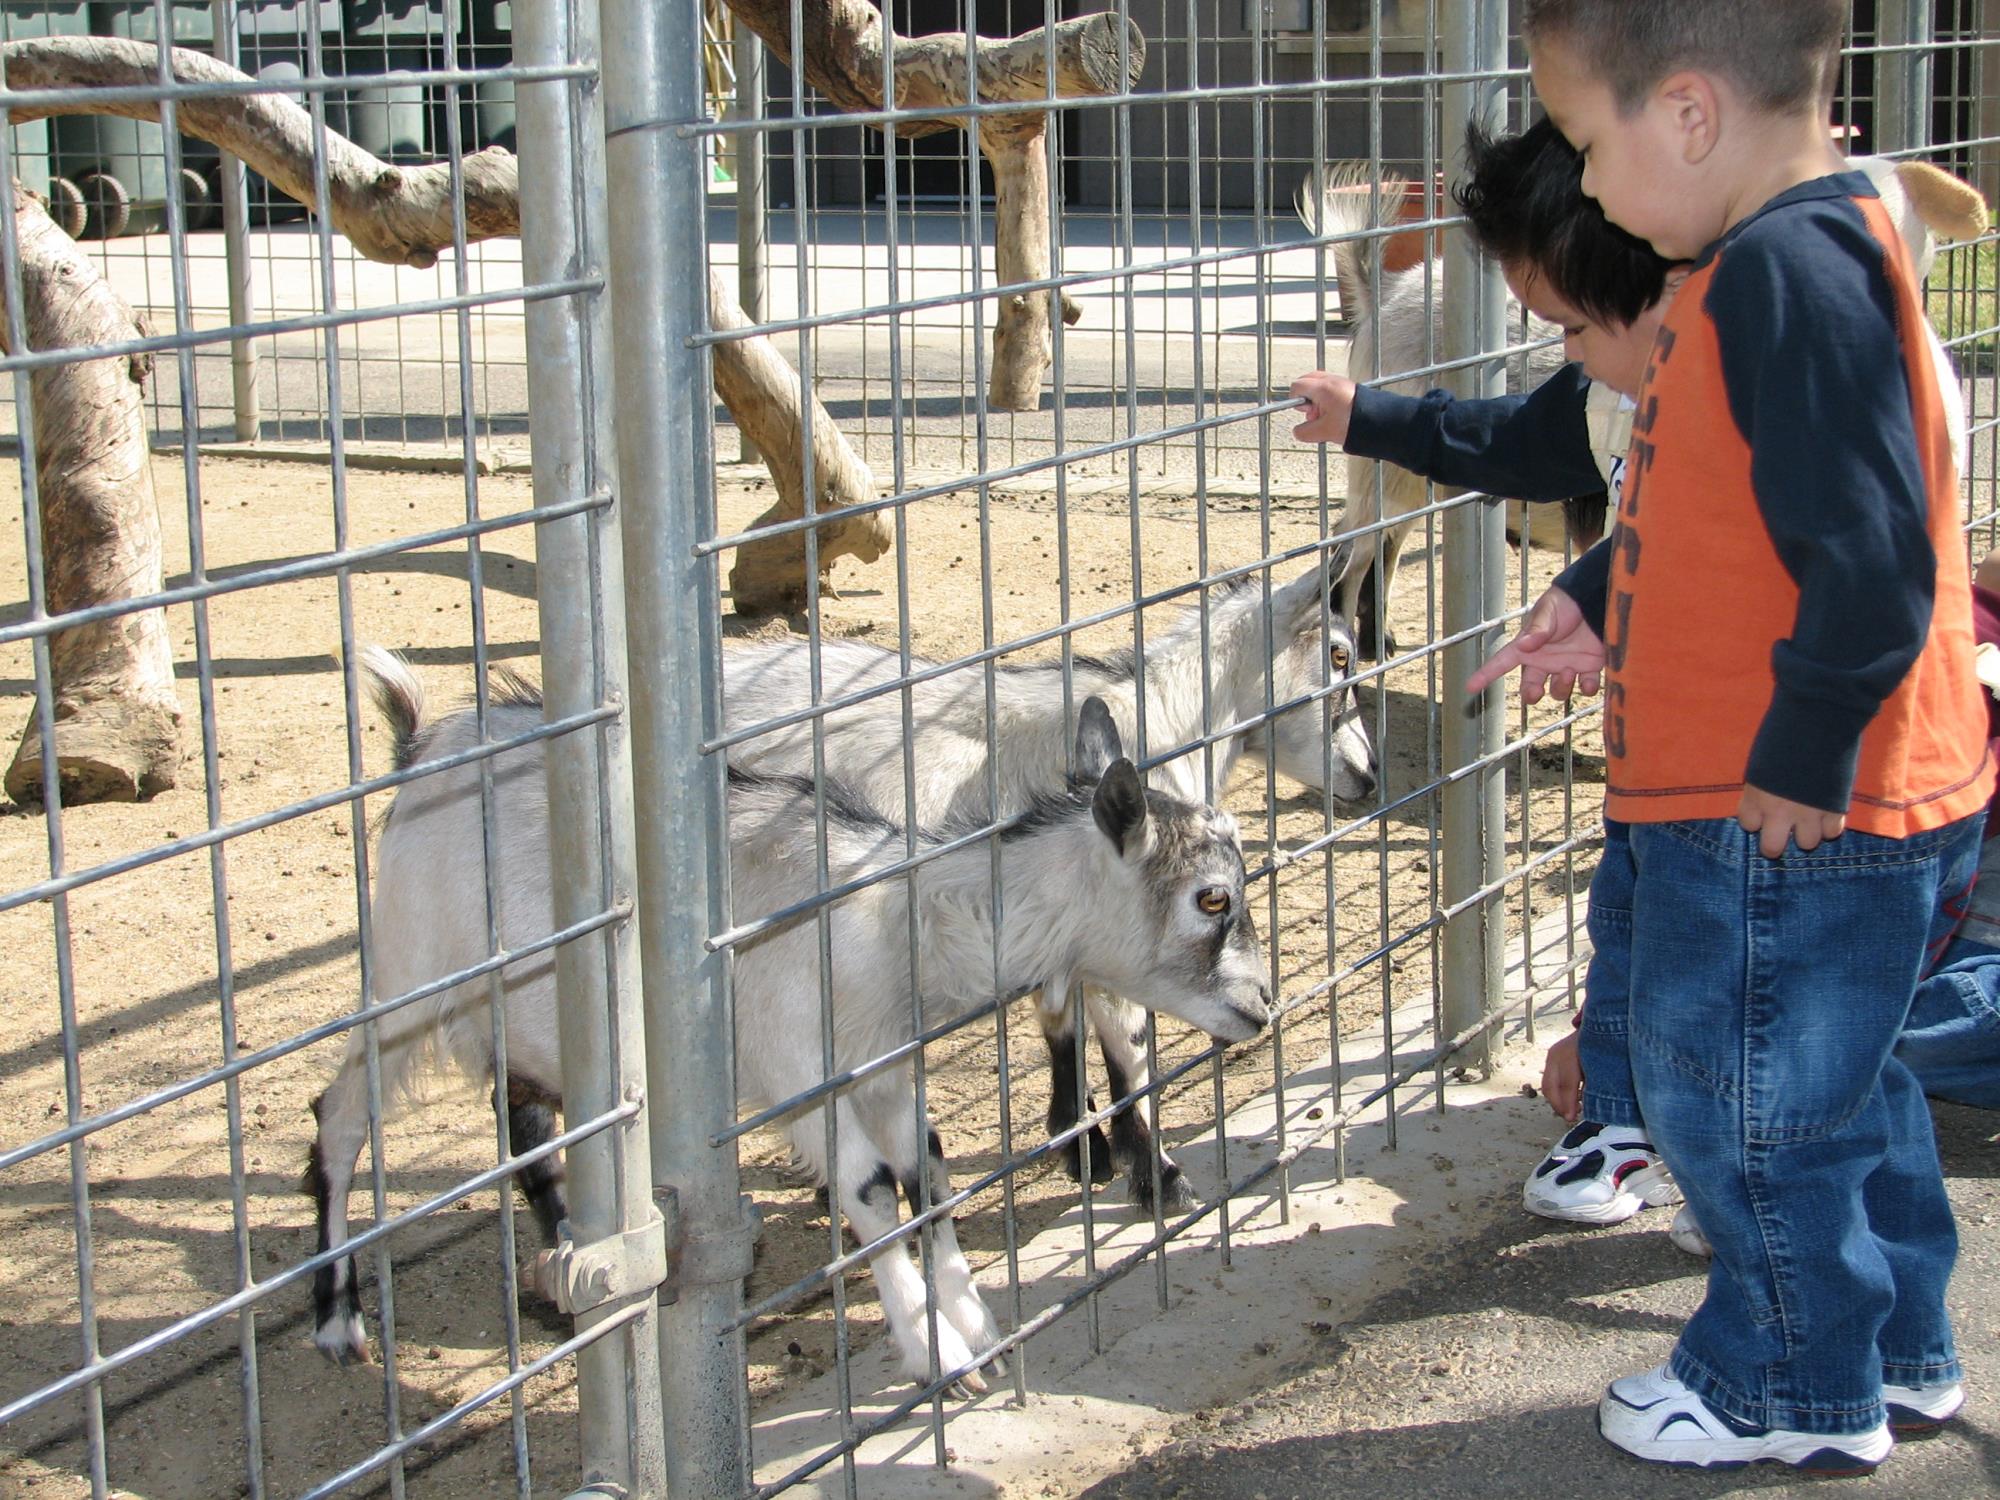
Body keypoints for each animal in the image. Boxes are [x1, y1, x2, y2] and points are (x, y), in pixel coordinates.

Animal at [304, 656, 1272, 1400]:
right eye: (1210, 897)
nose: (1263, 1006)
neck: (890, 919)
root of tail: (422, 746)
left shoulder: (884, 1066)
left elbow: (930, 1174)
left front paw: (978, 1330)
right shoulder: (800, 1075)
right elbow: (872, 1191)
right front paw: (940, 1359)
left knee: (524, 1114)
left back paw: (566, 1268)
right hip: (407, 974)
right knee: (340, 1115)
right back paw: (337, 1321)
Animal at [724, 548, 1376, 1216]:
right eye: (1340, 654)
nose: (1369, 775)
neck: (1168, 720)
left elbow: (1063, 1019)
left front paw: (1083, 1139)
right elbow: (1127, 1040)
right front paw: (1151, 1169)